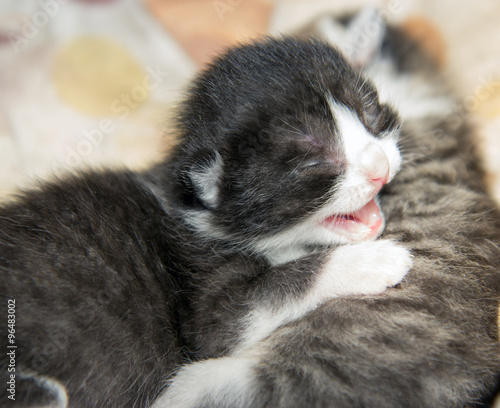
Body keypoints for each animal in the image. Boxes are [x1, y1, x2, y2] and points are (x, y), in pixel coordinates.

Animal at [0, 21, 410, 408]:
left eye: (370, 113)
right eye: (312, 163)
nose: (380, 167)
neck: (191, 209)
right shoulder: (207, 295)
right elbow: (281, 286)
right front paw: (373, 261)